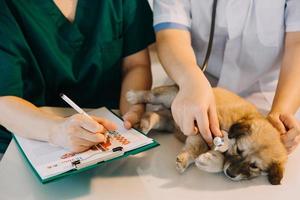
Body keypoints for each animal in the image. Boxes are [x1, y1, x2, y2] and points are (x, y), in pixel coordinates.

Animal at [127, 85, 288, 185]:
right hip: (170, 96)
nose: (230, 174)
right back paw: (133, 96)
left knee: (155, 115)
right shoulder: (202, 128)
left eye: (254, 167)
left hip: (168, 122)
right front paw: (188, 160)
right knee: (151, 94)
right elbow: (197, 148)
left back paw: (145, 124)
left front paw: (205, 160)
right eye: (238, 150)